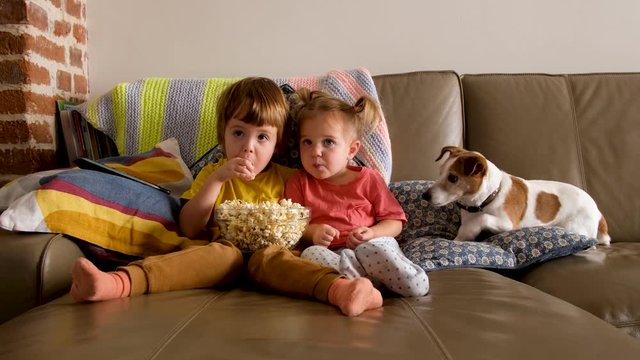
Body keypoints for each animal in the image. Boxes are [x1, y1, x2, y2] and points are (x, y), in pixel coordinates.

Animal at [420, 146, 608, 245]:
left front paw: (469, 232)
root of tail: (598, 211)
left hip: (574, 226)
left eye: (453, 178)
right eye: (440, 172)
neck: (491, 196)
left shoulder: (508, 223)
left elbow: (482, 219)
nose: (425, 195)